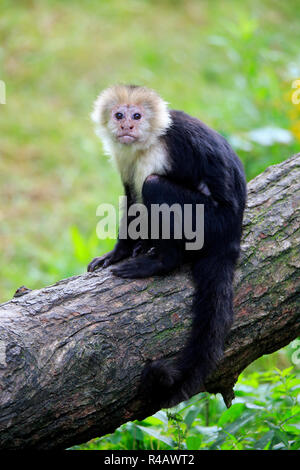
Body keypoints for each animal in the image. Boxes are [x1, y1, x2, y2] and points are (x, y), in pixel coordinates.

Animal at [86, 84, 246, 408]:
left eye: (136, 116)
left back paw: (161, 261)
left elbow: (147, 190)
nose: (127, 126)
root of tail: (232, 234)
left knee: (155, 185)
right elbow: (131, 198)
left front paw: (148, 254)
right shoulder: (124, 157)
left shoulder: (160, 150)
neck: (147, 140)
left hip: (212, 222)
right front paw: (118, 253)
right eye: (119, 115)